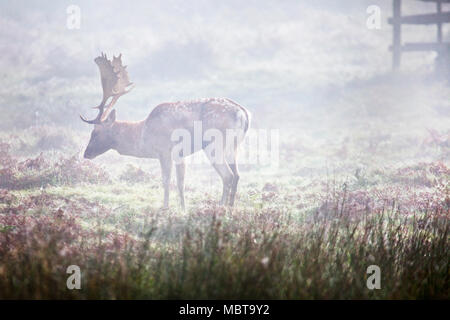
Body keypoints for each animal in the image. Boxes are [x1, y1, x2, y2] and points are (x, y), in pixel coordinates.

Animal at [79, 53, 251, 211]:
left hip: (214, 144)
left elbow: (166, 180)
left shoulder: (164, 150)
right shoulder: (180, 155)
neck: (143, 136)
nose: (86, 153)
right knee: (237, 175)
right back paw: (231, 207)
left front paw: (165, 207)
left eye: (96, 132)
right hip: (233, 146)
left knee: (227, 175)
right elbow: (181, 182)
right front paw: (183, 208)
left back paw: (220, 207)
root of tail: (243, 113)